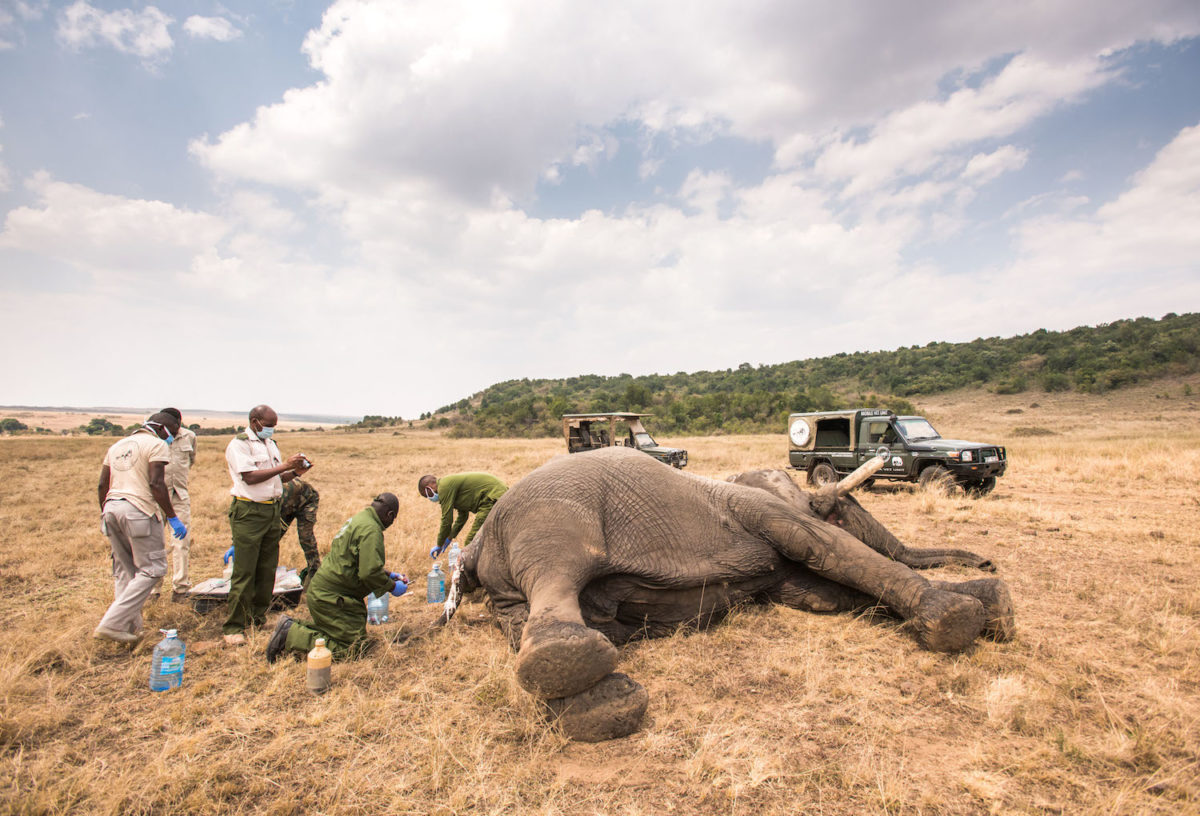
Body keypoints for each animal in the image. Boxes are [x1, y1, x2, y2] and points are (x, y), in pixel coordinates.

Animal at [444, 448, 1012, 744]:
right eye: (842, 511)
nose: (989, 562)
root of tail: (479, 542)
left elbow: (825, 594)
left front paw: (994, 606)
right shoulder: (760, 510)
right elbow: (827, 549)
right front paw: (961, 615)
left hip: (506, 588)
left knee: (522, 620)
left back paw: (603, 706)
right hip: (554, 511)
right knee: (557, 570)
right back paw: (576, 669)